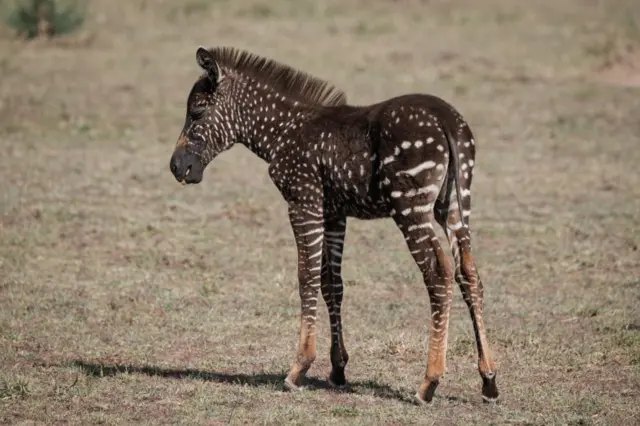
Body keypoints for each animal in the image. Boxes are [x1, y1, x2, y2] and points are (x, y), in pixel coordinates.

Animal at [168, 45, 498, 402]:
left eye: (197, 113)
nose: (176, 167)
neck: (283, 130)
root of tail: (445, 118)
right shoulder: (334, 213)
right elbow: (332, 283)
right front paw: (338, 369)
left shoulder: (304, 204)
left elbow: (307, 277)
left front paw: (299, 368)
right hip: (453, 206)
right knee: (469, 275)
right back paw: (489, 380)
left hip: (410, 207)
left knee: (438, 273)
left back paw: (429, 383)